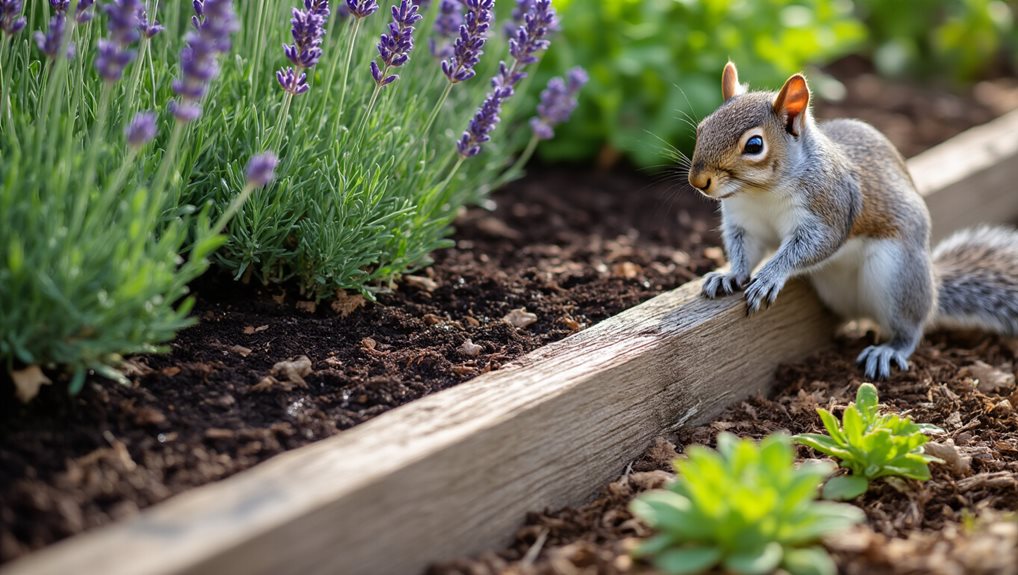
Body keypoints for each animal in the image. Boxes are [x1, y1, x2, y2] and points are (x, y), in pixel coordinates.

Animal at [687, 61, 1018, 379]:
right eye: (702, 128)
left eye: (754, 145)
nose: (697, 181)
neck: (760, 194)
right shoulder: (744, 223)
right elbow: (744, 249)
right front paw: (730, 275)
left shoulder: (831, 208)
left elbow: (811, 246)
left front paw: (769, 276)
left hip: (898, 274)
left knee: (910, 327)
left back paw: (889, 350)